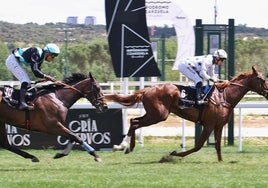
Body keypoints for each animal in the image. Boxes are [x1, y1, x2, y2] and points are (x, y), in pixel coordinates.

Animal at [105, 66, 268, 162]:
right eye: (262, 79)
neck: (224, 97)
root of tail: (147, 89)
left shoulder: (218, 125)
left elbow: (217, 145)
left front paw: (221, 161)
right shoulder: (209, 125)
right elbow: (198, 146)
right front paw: (174, 154)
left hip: (154, 114)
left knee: (134, 121)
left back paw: (128, 147)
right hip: (158, 115)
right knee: (135, 122)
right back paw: (125, 146)